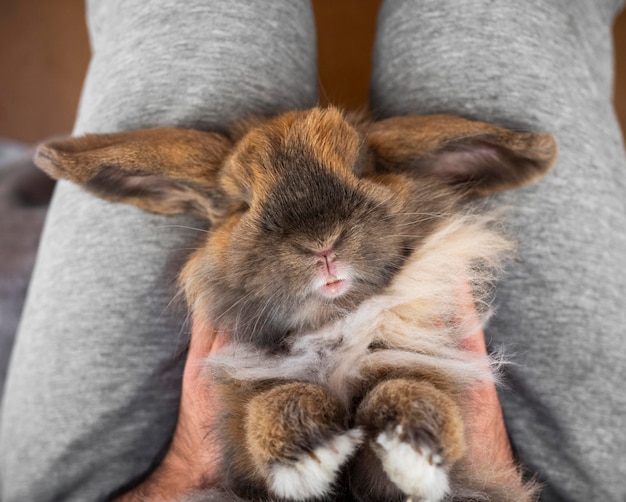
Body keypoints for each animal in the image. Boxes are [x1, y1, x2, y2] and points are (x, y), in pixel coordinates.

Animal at [34, 107, 552, 502]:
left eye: (362, 167)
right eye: (241, 203)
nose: (321, 243)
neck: (333, 323)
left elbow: (409, 390)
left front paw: (414, 451)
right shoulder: (240, 437)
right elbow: (275, 402)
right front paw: (311, 453)